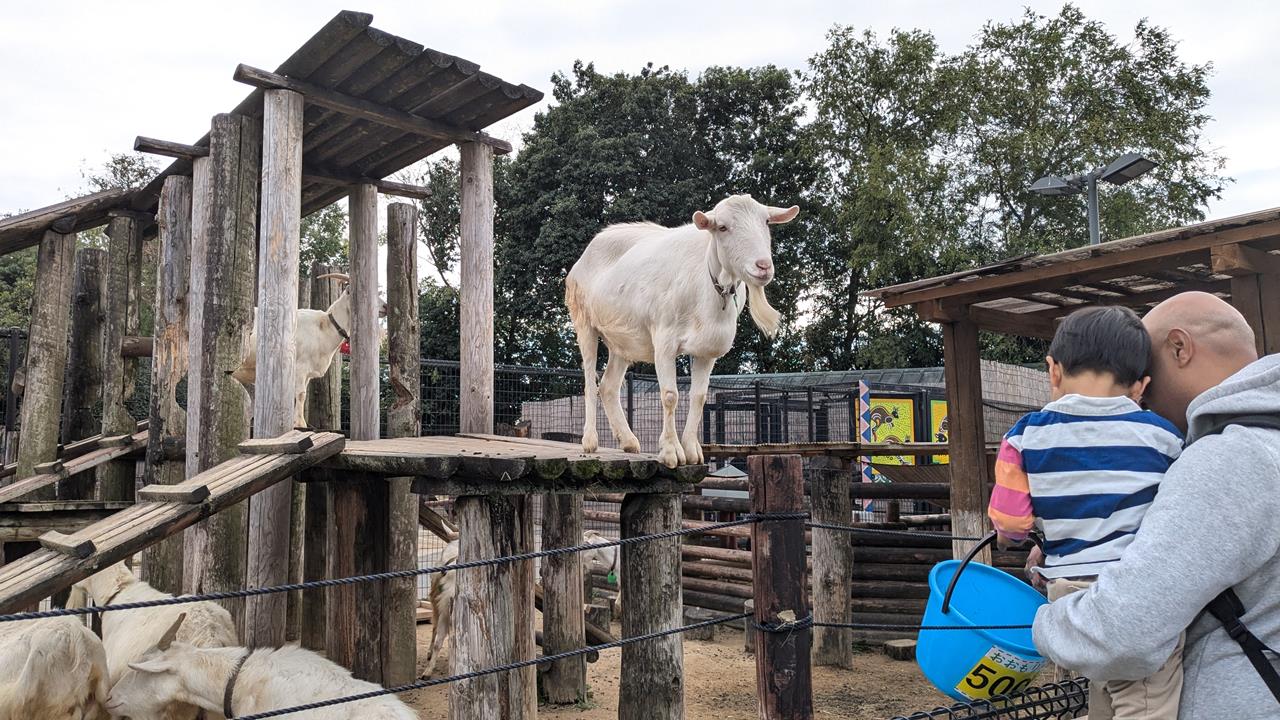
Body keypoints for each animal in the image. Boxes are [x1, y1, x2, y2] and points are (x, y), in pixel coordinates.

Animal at [565, 194, 793, 466]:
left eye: (766, 222)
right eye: (723, 227)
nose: (763, 266)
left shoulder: (706, 351)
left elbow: (699, 396)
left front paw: (692, 450)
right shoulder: (664, 341)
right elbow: (670, 395)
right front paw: (671, 451)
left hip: (623, 339)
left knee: (609, 386)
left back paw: (629, 441)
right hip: (584, 322)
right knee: (590, 381)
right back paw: (590, 441)